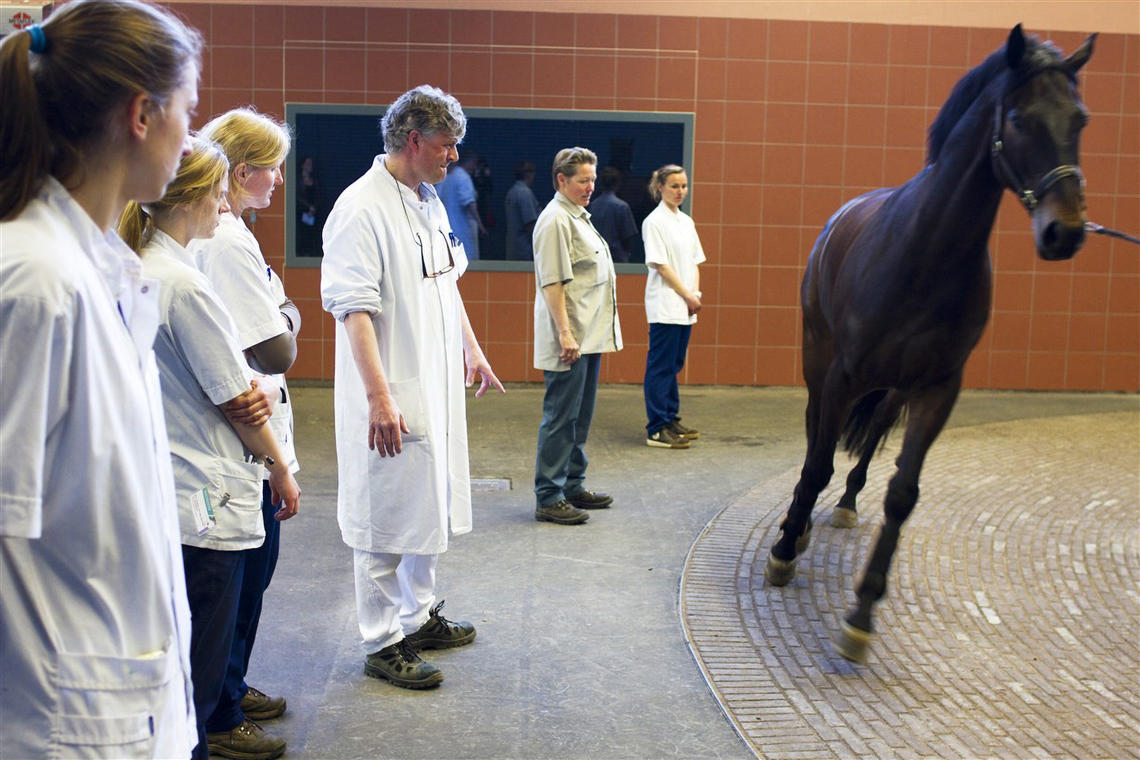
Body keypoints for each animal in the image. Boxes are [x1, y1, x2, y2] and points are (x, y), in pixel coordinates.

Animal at [766, 26, 1094, 660]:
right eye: (1019, 119)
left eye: (1080, 119)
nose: (1064, 232)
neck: (927, 252)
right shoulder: (842, 374)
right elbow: (817, 462)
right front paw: (785, 549)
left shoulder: (938, 389)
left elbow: (902, 493)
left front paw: (863, 611)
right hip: (819, 359)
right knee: (816, 435)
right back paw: (802, 522)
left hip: (894, 387)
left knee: (868, 440)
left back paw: (845, 506)